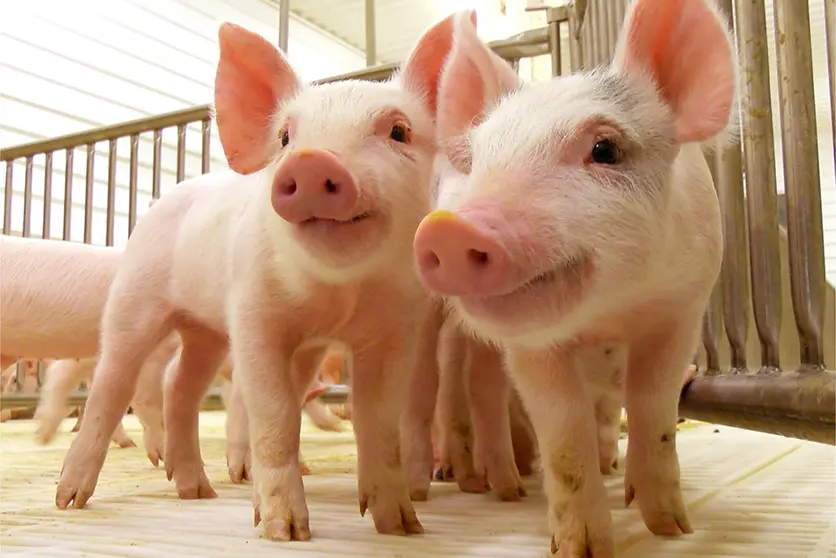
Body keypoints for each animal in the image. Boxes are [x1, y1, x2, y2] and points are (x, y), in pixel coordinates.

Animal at [55, 15, 459, 543]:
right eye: (285, 137)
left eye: (399, 131)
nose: (312, 160)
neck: (338, 294)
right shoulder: (254, 313)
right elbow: (274, 416)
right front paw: (283, 532)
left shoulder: (393, 330)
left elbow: (378, 420)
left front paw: (402, 527)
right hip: (134, 299)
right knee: (113, 384)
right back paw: (69, 500)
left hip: (206, 331)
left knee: (178, 384)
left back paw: (196, 491)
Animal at [413, 2, 737, 555]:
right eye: (478, 162)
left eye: (605, 149)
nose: (450, 228)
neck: (607, 316)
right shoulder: (530, 346)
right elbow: (564, 429)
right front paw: (581, 546)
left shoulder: (681, 308)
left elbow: (652, 408)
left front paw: (671, 526)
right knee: (466, 382)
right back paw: (486, 484)